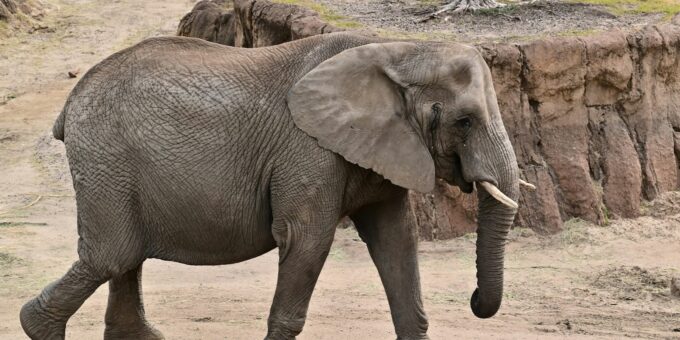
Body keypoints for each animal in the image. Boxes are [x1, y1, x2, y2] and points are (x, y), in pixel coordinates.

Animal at [19, 30, 520, 338]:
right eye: (464, 121)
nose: (475, 299)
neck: (397, 50)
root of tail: (69, 104)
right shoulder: (308, 149)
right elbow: (306, 238)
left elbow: (396, 238)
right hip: (105, 155)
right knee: (113, 255)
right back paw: (34, 326)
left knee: (126, 257)